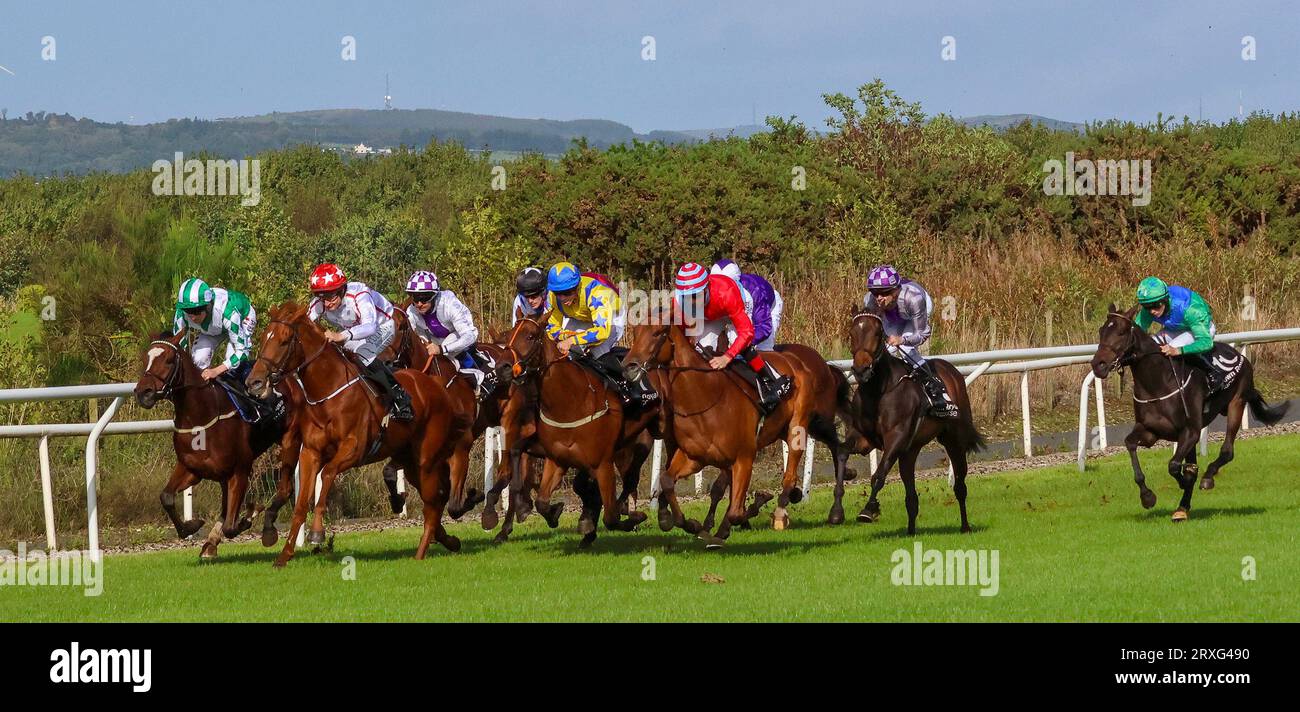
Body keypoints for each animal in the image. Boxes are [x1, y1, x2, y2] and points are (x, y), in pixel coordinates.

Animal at [133, 331, 301, 558]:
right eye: (146, 359)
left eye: (168, 360)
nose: (144, 393)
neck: (201, 416)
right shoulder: (192, 468)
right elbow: (166, 497)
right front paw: (192, 526)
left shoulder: (240, 470)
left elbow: (231, 526)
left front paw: (250, 514)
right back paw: (211, 542)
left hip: (290, 440)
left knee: (287, 487)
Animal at [245, 301, 470, 566]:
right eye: (263, 338)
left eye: (284, 340)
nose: (254, 382)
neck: (329, 393)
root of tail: (438, 386)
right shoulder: (310, 452)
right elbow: (300, 505)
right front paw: (284, 555)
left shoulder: (354, 448)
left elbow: (328, 474)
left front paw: (317, 532)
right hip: (410, 462)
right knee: (432, 499)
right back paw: (447, 540)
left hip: (426, 459)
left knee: (433, 503)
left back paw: (420, 553)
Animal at [842, 310, 982, 535]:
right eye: (851, 333)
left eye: (877, 334)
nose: (861, 370)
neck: (879, 390)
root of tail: (952, 371)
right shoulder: (862, 438)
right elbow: (843, 451)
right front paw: (847, 473)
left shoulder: (896, 438)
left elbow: (878, 476)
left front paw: (869, 509)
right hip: (910, 450)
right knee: (911, 496)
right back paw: (910, 530)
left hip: (953, 439)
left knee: (960, 484)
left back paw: (965, 526)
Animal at [1086, 302, 1289, 519]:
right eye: (1101, 331)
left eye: (1122, 332)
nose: (1098, 365)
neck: (1158, 383)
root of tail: (1240, 355)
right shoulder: (1150, 431)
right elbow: (1130, 445)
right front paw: (1147, 496)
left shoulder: (1190, 431)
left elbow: (1174, 465)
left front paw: (1183, 482)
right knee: (1195, 464)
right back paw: (1182, 508)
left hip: (1236, 403)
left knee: (1227, 451)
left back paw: (1207, 478)